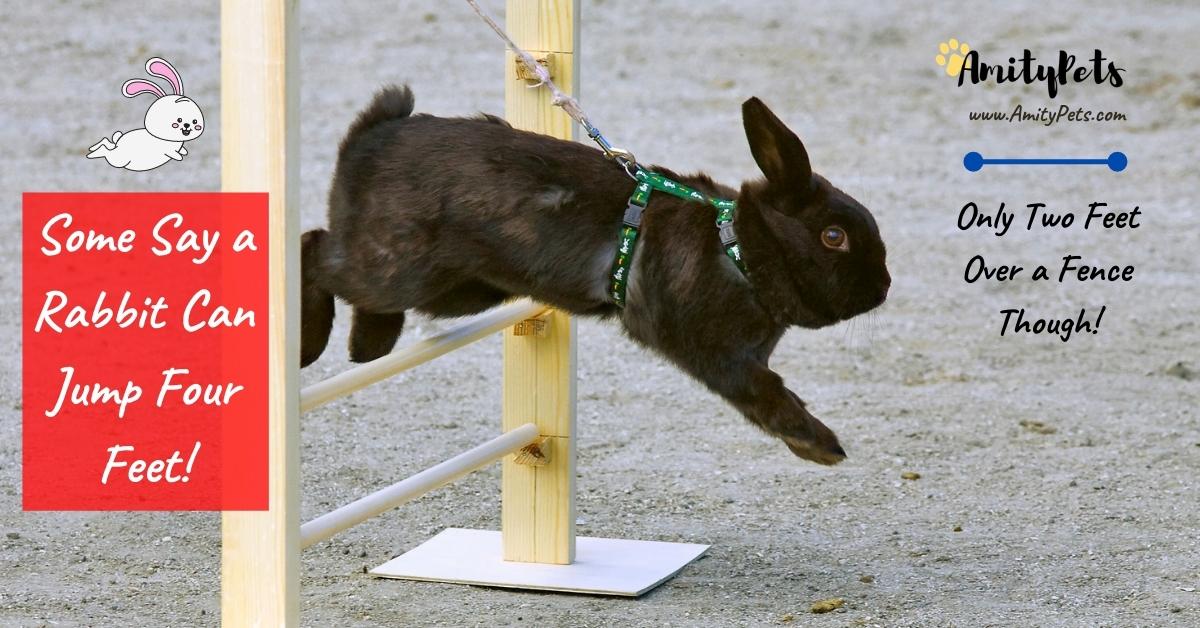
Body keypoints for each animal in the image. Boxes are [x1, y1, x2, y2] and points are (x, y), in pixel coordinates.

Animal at [300, 85, 890, 465]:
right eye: (833, 237)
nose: (883, 287)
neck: (737, 247)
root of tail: (372, 137)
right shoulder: (723, 357)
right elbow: (769, 395)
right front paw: (824, 449)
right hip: (395, 266)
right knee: (315, 250)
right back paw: (312, 346)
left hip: (462, 289)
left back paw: (367, 347)